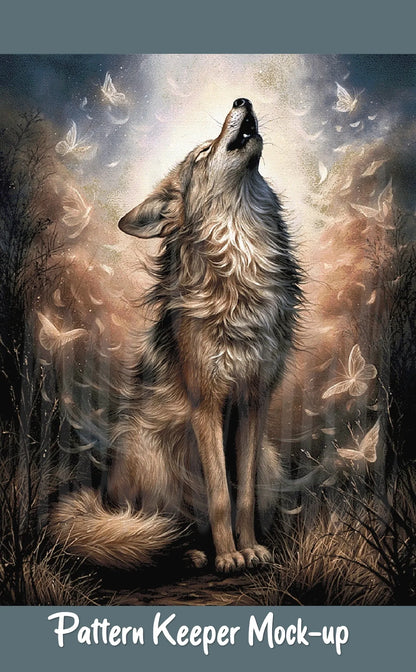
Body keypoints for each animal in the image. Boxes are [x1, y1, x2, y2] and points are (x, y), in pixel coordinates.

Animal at [50, 98, 302, 573]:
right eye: (203, 153)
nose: (242, 100)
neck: (241, 255)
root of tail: (104, 500)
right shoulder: (207, 402)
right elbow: (220, 496)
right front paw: (229, 556)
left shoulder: (253, 400)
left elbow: (243, 496)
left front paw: (250, 548)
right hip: (148, 451)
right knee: (155, 522)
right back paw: (189, 551)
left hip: (269, 459)